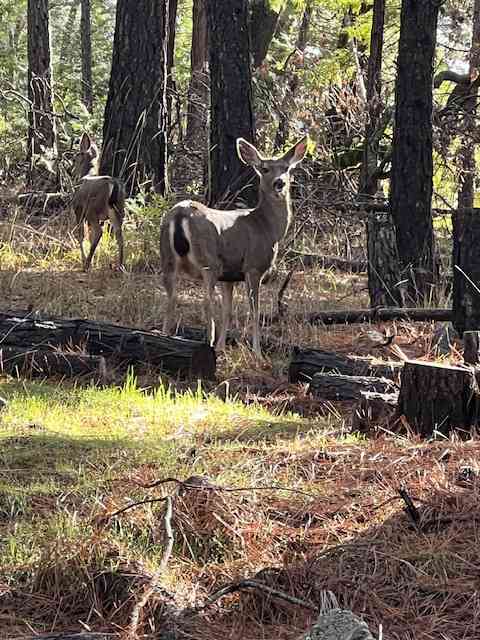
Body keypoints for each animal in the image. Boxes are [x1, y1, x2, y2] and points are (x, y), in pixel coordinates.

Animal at [71, 131, 125, 272]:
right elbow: (89, 237)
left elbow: (81, 235)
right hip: (119, 210)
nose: (72, 171)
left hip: (92, 209)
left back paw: (87, 264)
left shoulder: (78, 210)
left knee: (99, 232)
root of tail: (113, 184)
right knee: (119, 234)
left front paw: (84, 260)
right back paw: (120, 265)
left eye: (75, 157)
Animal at [159, 136, 306, 356]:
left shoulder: (229, 276)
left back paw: (166, 339)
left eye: (286, 168)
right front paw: (257, 352)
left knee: (171, 298)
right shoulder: (253, 267)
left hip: (167, 259)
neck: (267, 227)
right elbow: (254, 312)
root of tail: (180, 213)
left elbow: (227, 311)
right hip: (208, 261)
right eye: (264, 168)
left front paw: (222, 347)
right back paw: (208, 343)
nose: (280, 183)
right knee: (205, 302)